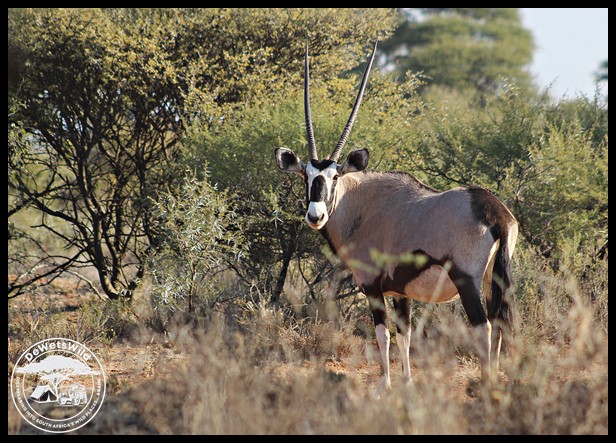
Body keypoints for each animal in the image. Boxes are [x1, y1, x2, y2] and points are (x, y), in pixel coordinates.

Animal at [275, 41, 518, 394]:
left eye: (335, 176)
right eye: (306, 176)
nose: (315, 215)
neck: (361, 205)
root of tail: (494, 213)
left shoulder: (372, 287)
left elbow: (383, 335)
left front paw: (384, 385)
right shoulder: (402, 293)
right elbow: (405, 336)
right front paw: (406, 382)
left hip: (467, 281)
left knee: (483, 327)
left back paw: (485, 386)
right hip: (493, 279)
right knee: (498, 324)